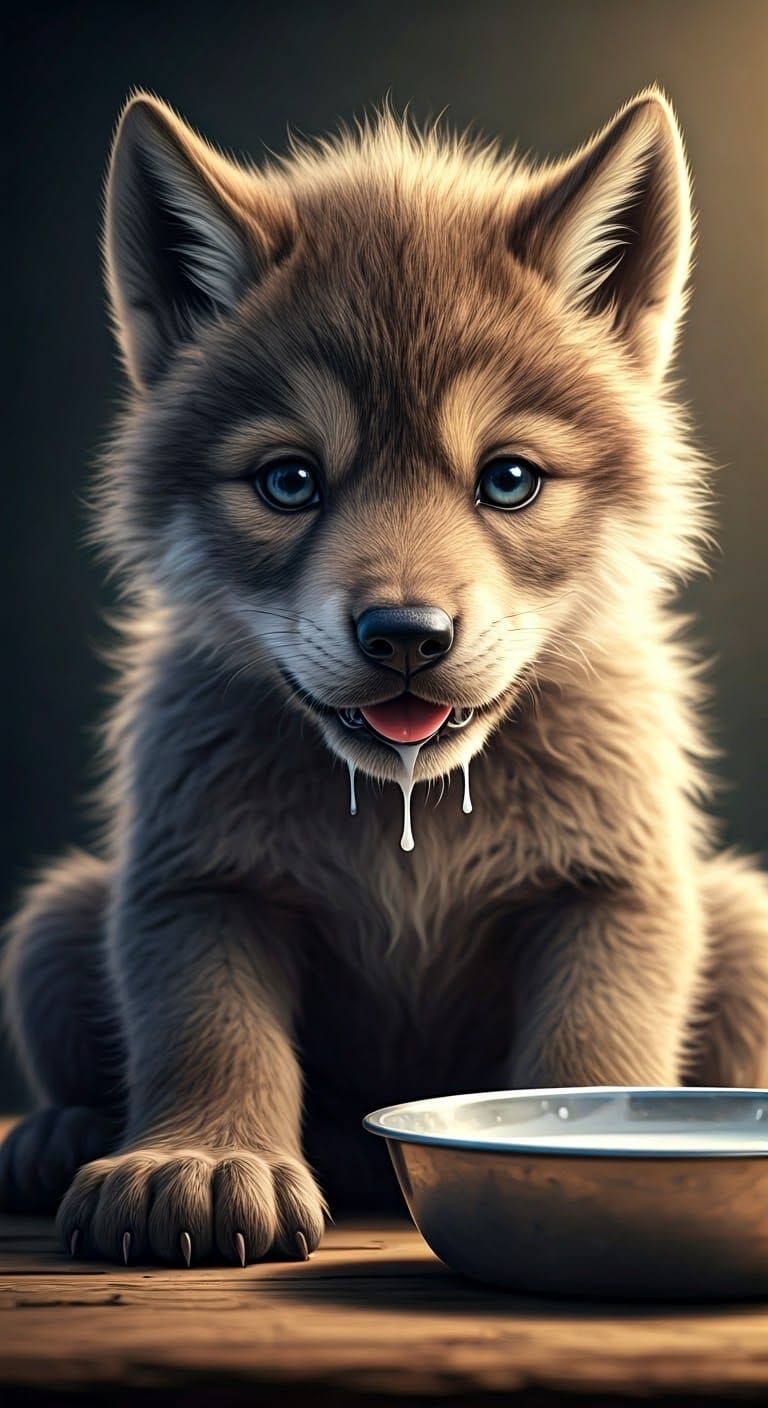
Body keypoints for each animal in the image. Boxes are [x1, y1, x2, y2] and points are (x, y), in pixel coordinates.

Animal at [2, 88, 766, 1265]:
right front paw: (199, 1161)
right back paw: (63, 1132)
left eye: (509, 479)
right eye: (289, 481)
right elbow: (206, 1029)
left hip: (749, 926)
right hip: (49, 925)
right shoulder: (197, 885)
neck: (411, 823)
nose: (407, 635)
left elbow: (594, 1046)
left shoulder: (614, 891)